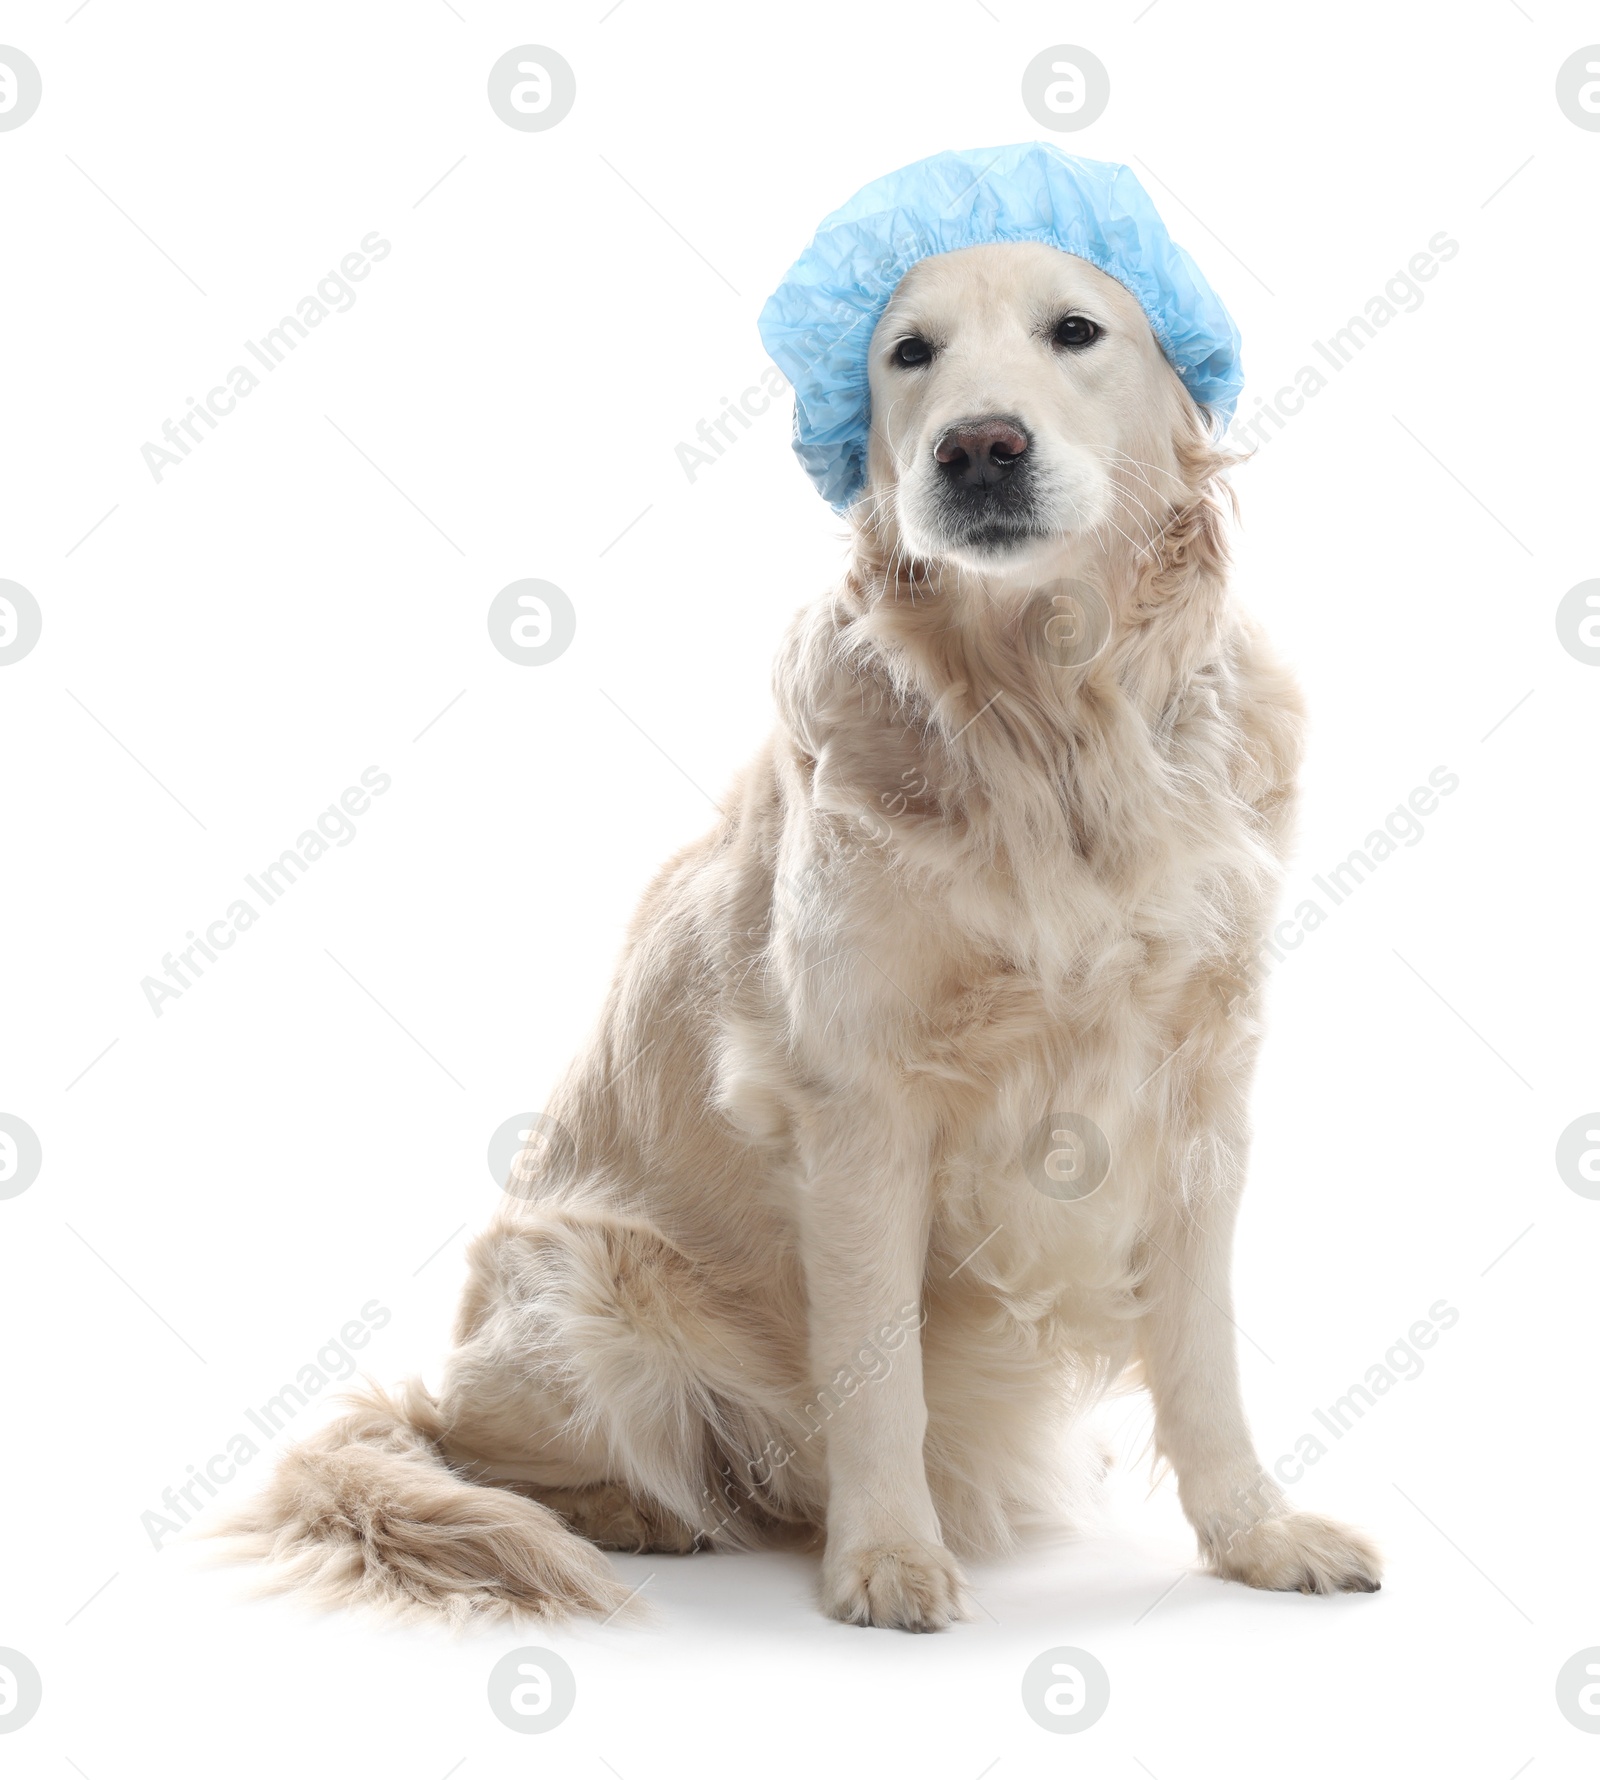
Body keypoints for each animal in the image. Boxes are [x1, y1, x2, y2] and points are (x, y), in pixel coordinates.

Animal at [231, 243, 1381, 1630]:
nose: (978, 448)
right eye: (908, 352)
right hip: (578, 1277)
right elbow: (879, 1372)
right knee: (489, 1457)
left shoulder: (1200, 1085)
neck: (1050, 723)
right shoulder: (858, 1105)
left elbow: (1203, 1358)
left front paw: (1255, 1535)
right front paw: (885, 1557)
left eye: (1075, 331)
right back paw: (638, 1514)